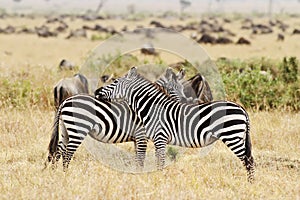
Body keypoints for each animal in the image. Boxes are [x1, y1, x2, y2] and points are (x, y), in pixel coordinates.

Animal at [46, 67, 188, 170]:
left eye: (183, 88)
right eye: (171, 89)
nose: (185, 103)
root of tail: (65, 101)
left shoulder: (137, 138)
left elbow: (137, 158)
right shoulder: (142, 136)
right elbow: (141, 159)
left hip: (65, 129)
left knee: (58, 151)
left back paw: (56, 174)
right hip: (78, 129)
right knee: (67, 153)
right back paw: (66, 174)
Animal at [96, 67, 255, 183]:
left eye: (115, 82)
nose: (97, 91)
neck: (152, 108)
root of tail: (241, 108)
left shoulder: (159, 137)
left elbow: (159, 161)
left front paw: (159, 180)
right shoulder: (154, 139)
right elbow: (154, 160)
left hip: (232, 135)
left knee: (248, 160)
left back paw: (250, 183)